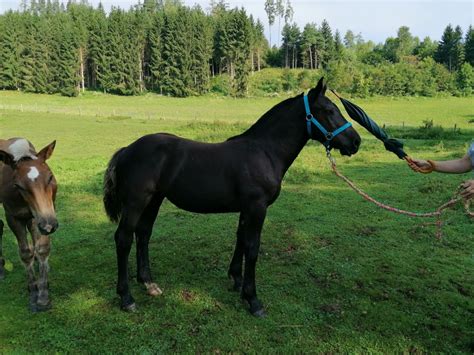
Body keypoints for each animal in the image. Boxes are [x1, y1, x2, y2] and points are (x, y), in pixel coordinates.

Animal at [103, 78, 362, 318]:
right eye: (329, 111)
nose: (356, 141)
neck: (264, 152)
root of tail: (126, 150)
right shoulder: (257, 207)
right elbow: (253, 247)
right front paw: (253, 300)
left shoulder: (247, 208)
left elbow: (241, 239)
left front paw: (236, 280)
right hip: (136, 202)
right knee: (124, 239)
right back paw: (126, 298)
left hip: (154, 200)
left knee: (143, 234)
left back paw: (148, 283)